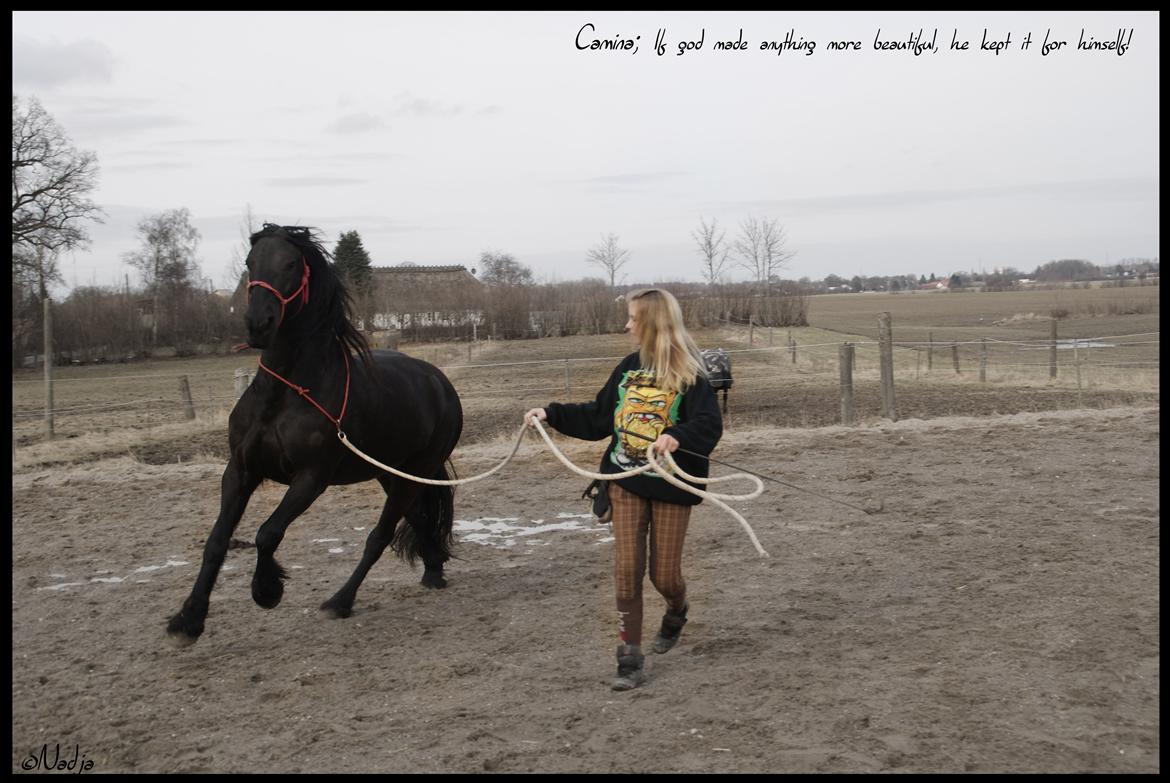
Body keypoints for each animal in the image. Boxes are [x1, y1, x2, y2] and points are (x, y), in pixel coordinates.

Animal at [167, 222, 463, 646]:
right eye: (250, 261)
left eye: (291, 263)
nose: (258, 324)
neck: (284, 394)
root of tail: (439, 381)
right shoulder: (239, 471)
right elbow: (217, 542)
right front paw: (188, 620)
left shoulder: (310, 479)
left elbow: (267, 533)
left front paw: (267, 591)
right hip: (390, 474)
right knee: (419, 519)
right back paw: (433, 571)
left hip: (413, 472)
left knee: (380, 535)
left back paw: (341, 601)